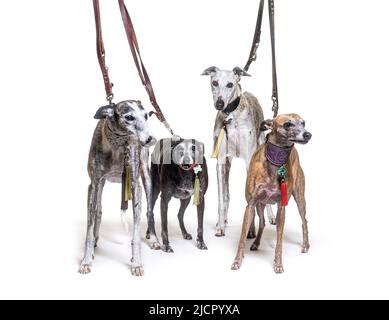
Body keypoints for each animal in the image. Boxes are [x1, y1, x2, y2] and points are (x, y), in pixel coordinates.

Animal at [79, 100, 158, 278]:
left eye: (146, 116)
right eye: (129, 117)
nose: (151, 139)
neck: (117, 146)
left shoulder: (135, 186)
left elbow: (135, 234)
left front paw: (136, 263)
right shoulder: (93, 185)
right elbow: (90, 227)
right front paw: (86, 260)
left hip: (147, 178)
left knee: (149, 211)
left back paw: (154, 239)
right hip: (101, 186)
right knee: (98, 211)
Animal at [202, 66, 274, 236]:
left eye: (230, 84)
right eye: (214, 82)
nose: (219, 104)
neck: (231, 117)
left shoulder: (250, 162)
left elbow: (251, 199)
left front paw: (251, 230)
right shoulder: (221, 161)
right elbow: (222, 198)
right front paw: (220, 226)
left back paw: (271, 216)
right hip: (228, 164)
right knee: (227, 195)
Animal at [230, 112, 312, 272]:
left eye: (303, 123)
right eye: (287, 124)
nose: (308, 134)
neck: (274, 164)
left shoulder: (282, 207)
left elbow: (279, 241)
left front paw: (278, 264)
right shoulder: (250, 205)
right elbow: (242, 237)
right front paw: (237, 261)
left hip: (300, 198)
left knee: (304, 221)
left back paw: (305, 245)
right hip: (260, 204)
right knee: (262, 222)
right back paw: (256, 243)